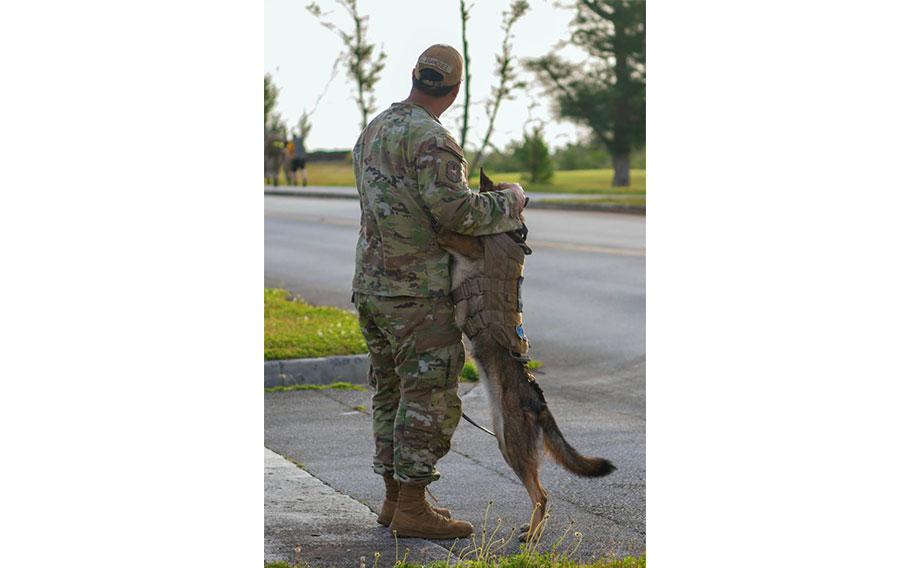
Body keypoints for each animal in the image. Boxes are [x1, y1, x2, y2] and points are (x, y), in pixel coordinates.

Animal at [436, 170, 620, 540]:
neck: (507, 233)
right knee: (539, 492)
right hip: (505, 440)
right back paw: (531, 528)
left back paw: (532, 535)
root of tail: (540, 403)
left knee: (542, 494)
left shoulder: (465, 244)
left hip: (512, 443)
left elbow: (448, 232)